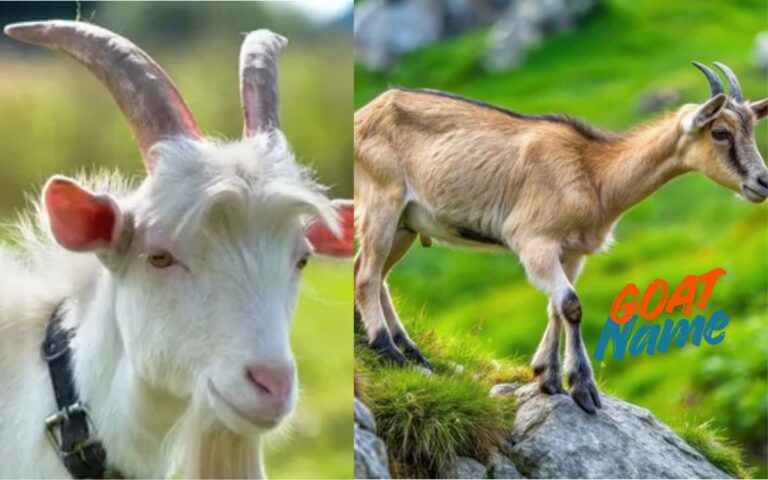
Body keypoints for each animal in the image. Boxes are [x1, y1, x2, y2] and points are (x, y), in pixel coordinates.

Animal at [354, 62, 768, 413]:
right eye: (720, 132)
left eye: (751, 130)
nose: (763, 182)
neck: (594, 173)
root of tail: (362, 115)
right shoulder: (534, 241)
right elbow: (571, 304)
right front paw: (583, 388)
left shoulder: (571, 252)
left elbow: (557, 306)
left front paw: (547, 376)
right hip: (383, 201)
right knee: (366, 274)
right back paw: (388, 351)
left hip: (406, 225)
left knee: (377, 273)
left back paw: (409, 349)